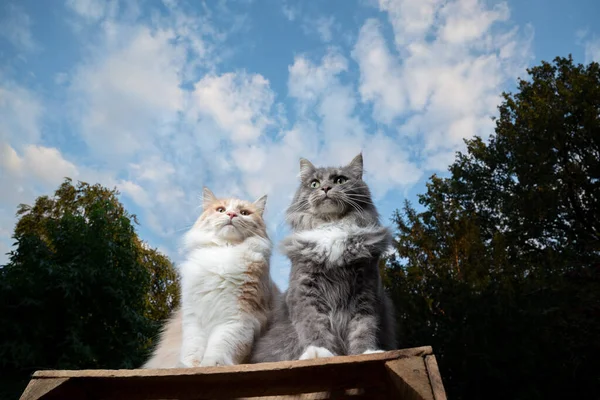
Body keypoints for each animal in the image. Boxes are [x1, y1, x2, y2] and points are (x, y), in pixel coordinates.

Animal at [143, 188, 278, 368]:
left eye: (244, 213)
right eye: (220, 210)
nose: (231, 214)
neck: (223, 251)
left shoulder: (238, 317)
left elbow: (220, 346)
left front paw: (210, 365)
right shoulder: (194, 316)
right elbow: (192, 348)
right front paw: (188, 366)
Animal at [250, 153, 398, 362]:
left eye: (340, 180)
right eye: (314, 183)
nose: (325, 188)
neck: (332, 226)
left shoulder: (366, 293)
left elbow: (363, 329)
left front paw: (367, 352)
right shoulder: (306, 291)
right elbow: (314, 326)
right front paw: (319, 352)